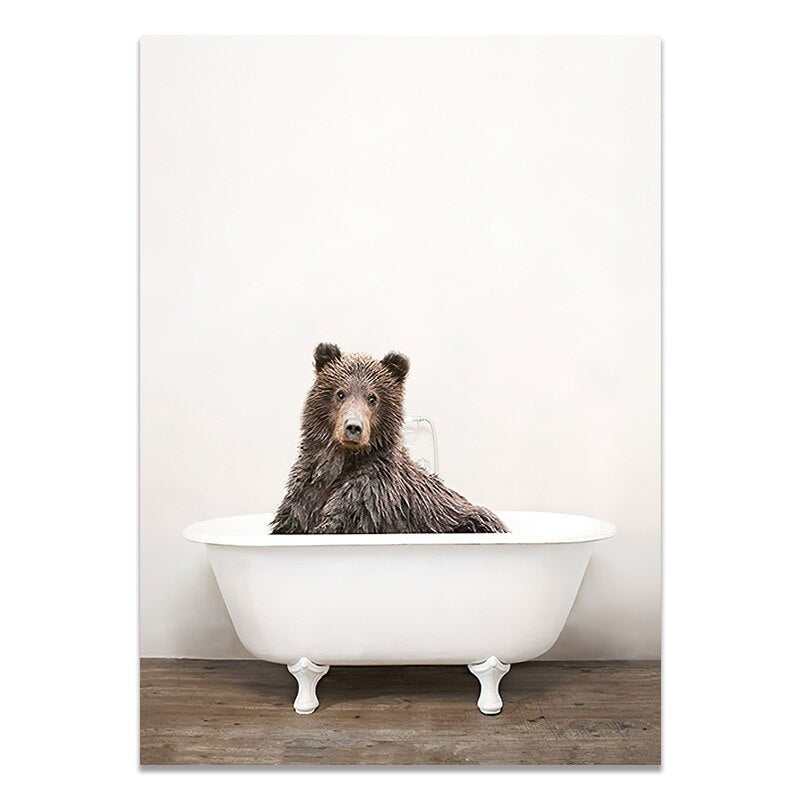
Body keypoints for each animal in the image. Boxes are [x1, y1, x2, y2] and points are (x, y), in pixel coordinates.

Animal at [271, 343, 508, 534]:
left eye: (372, 398)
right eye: (340, 393)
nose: (353, 427)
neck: (341, 462)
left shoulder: (369, 497)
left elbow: (341, 519)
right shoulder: (303, 496)